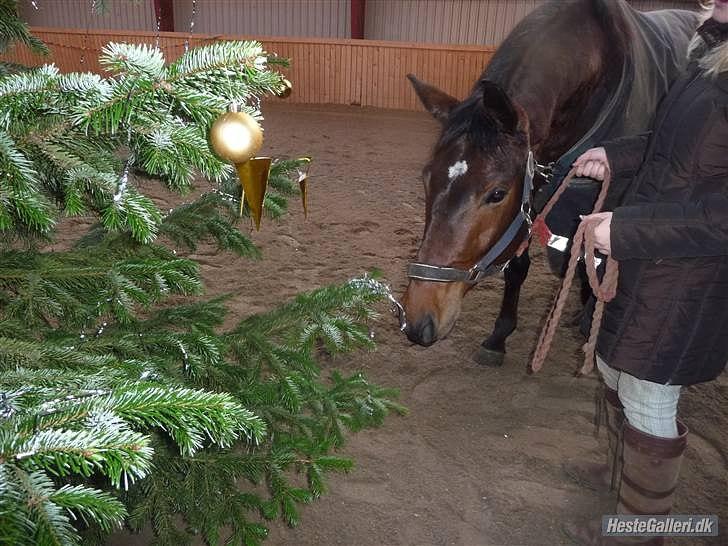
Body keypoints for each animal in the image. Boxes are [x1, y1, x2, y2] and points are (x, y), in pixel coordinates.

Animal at [398, 1, 700, 366]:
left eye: (497, 194)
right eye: (427, 178)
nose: (417, 321)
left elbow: (594, 258)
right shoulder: (533, 191)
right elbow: (518, 265)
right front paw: (498, 338)